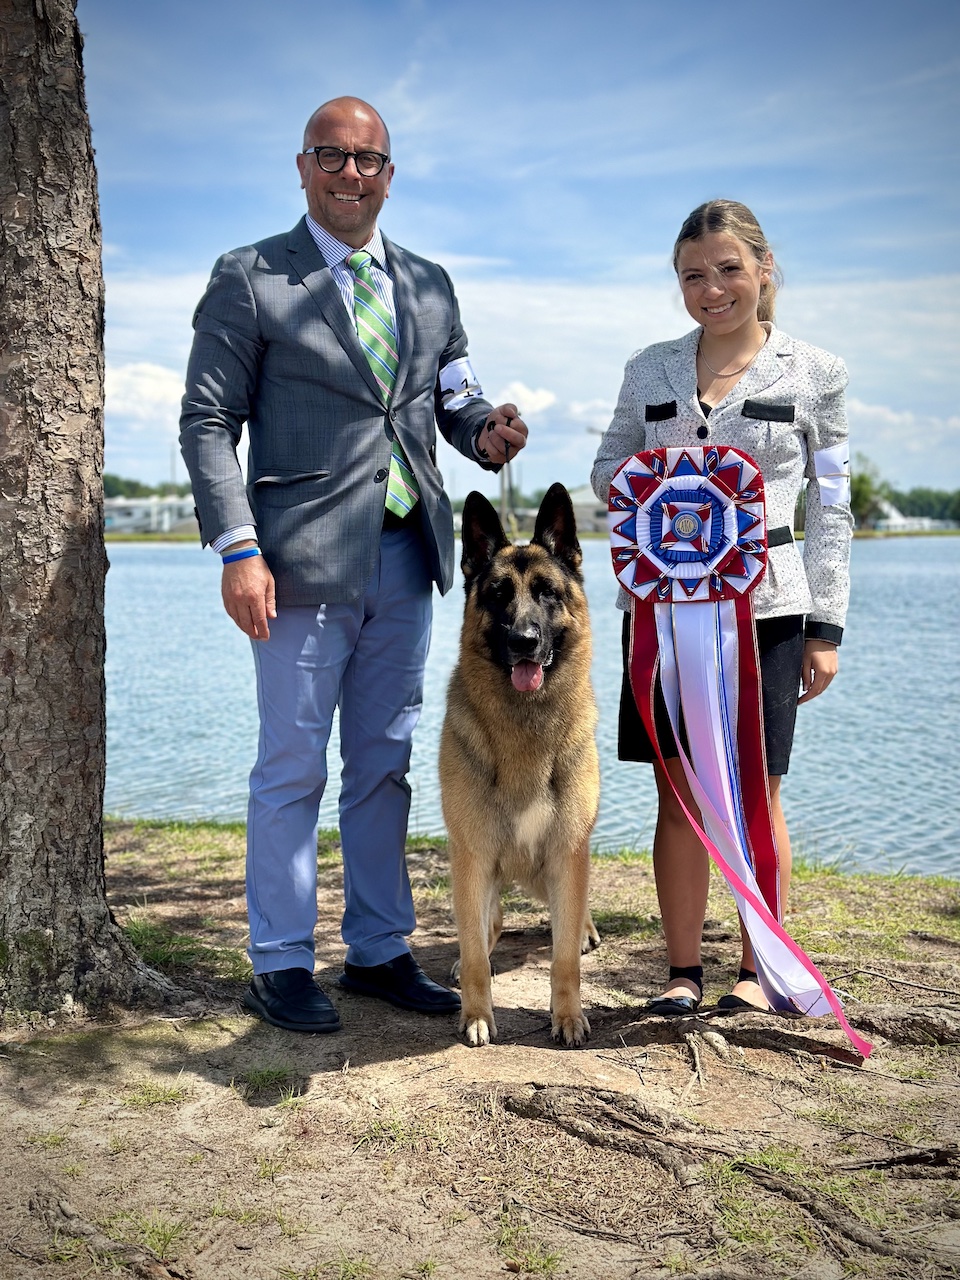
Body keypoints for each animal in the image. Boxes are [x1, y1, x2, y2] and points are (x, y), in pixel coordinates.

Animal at [439, 483, 600, 1047]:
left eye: (548, 592)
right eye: (498, 593)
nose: (524, 641)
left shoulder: (568, 854)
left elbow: (563, 958)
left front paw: (568, 1016)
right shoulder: (472, 858)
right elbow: (474, 954)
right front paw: (477, 1015)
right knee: (486, 929)